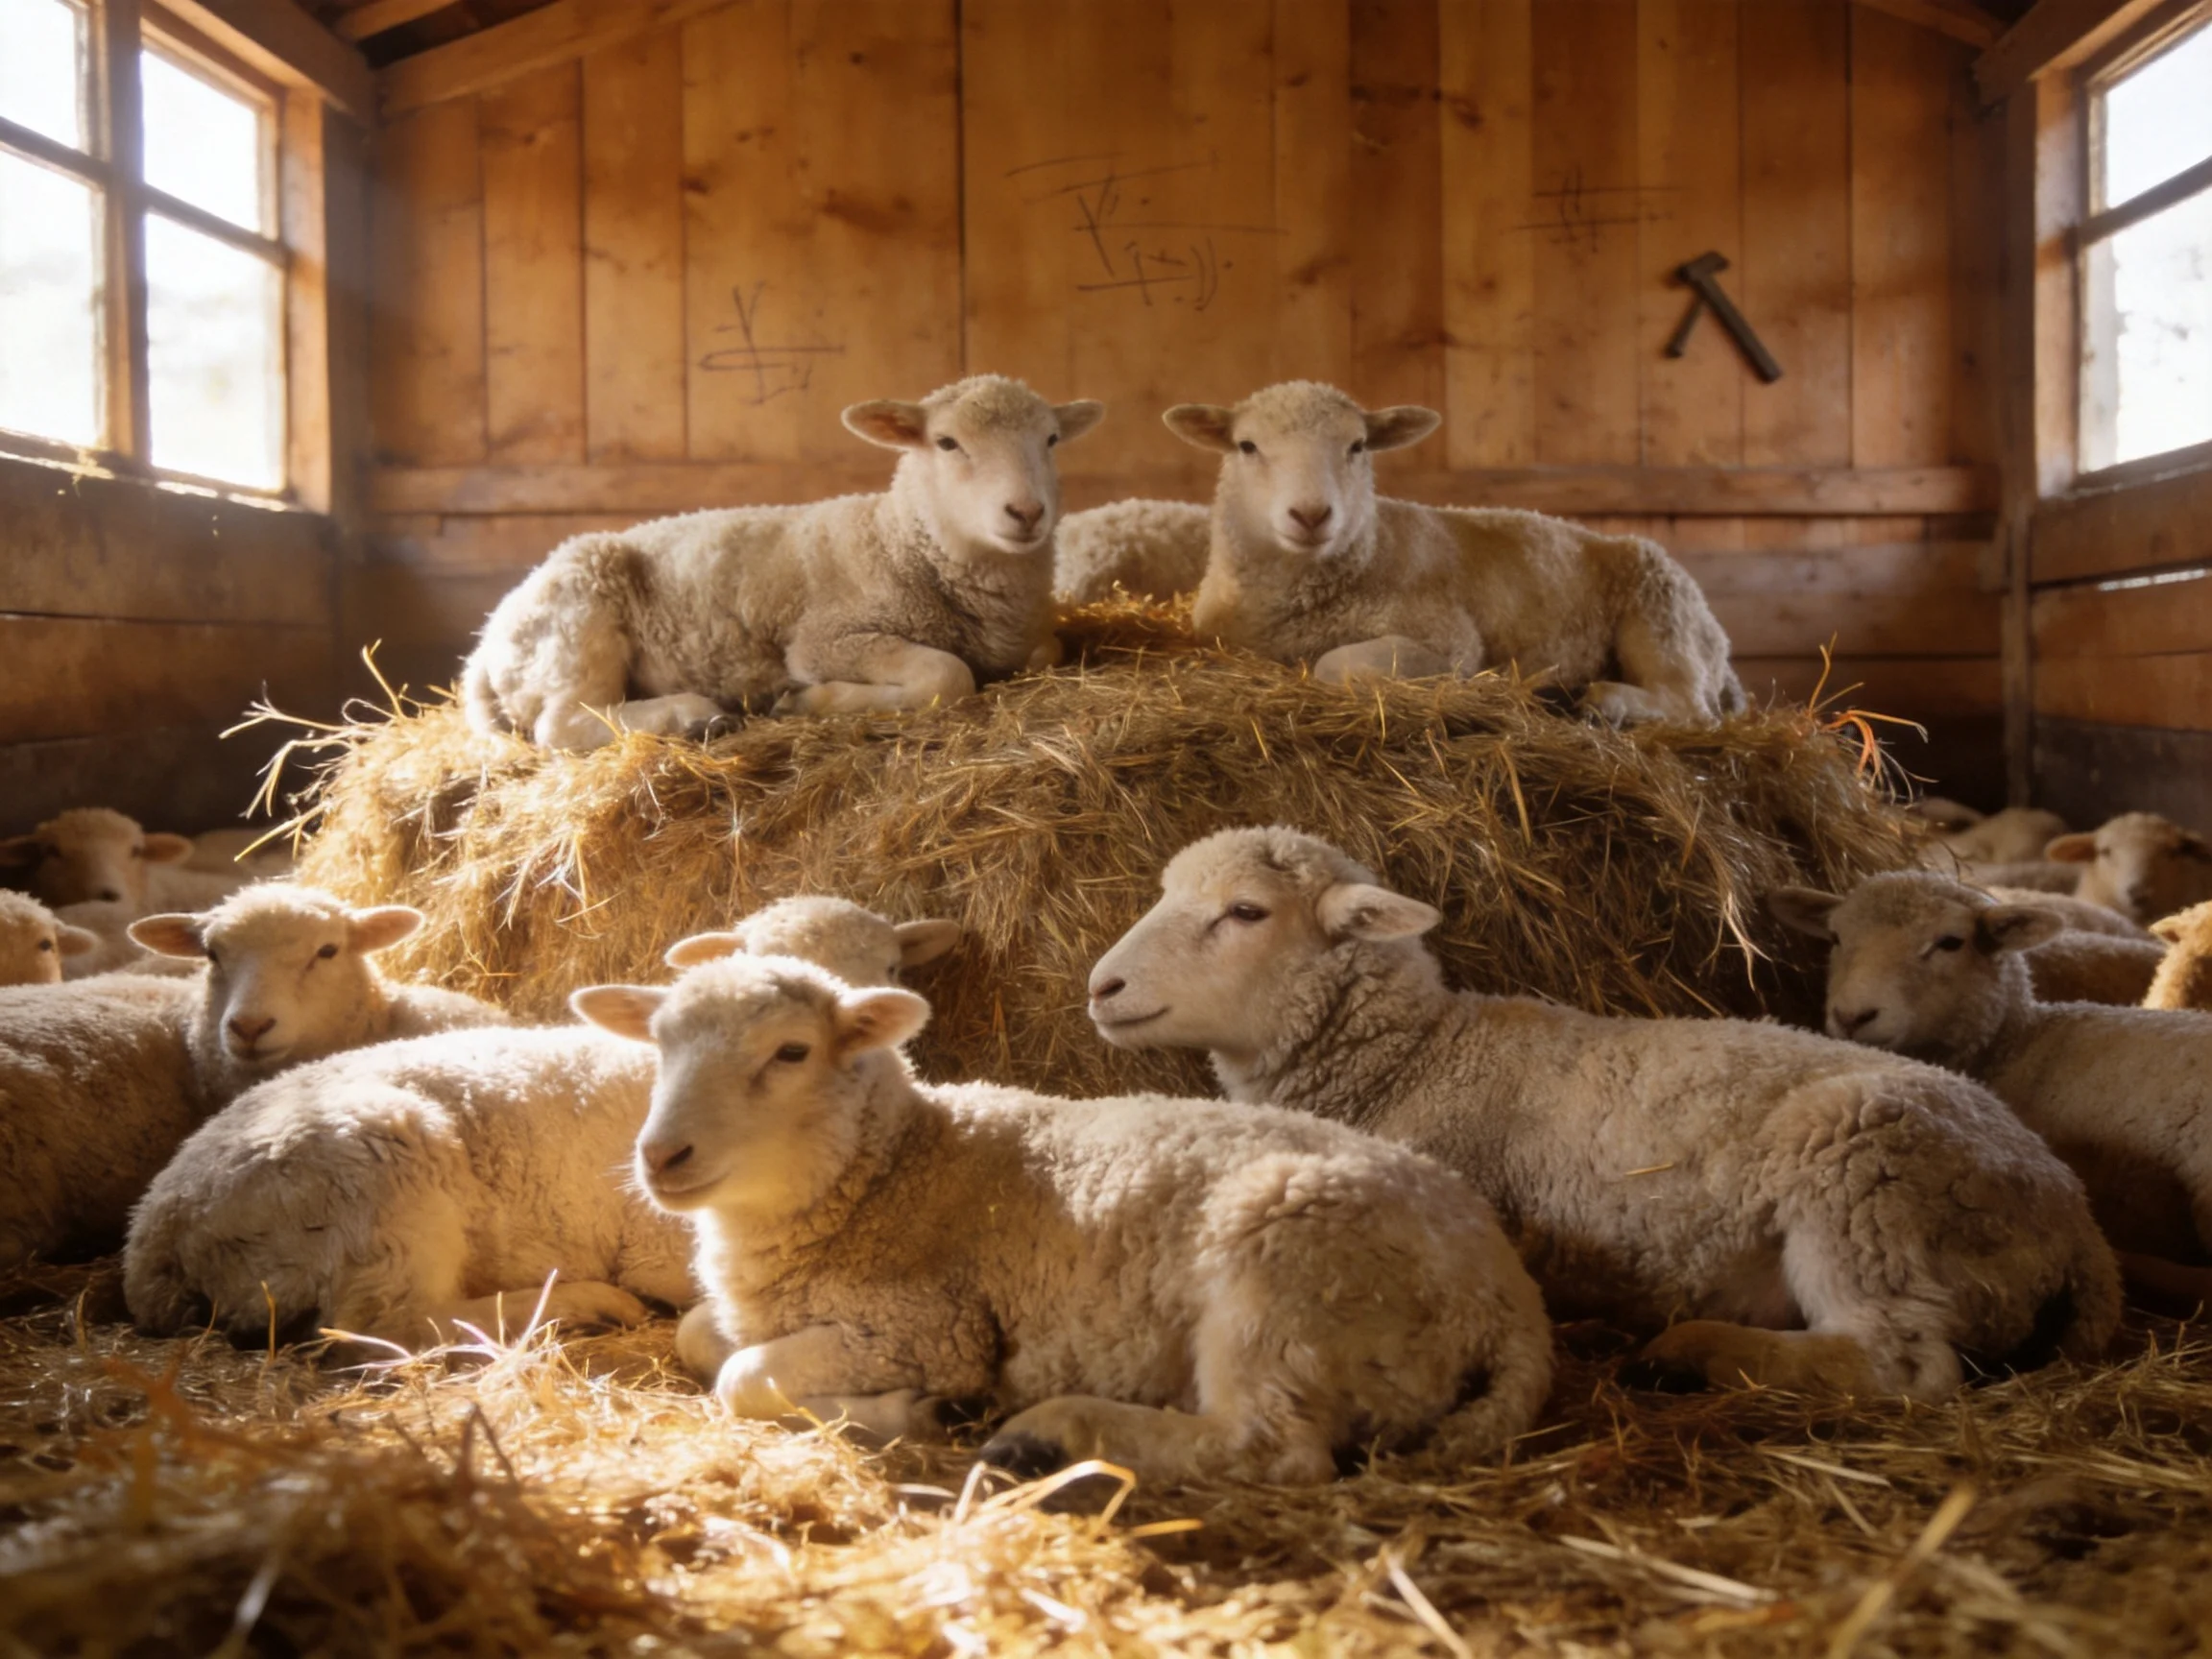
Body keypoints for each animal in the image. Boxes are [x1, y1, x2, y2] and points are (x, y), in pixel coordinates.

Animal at [124, 899, 959, 1356]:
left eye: (891, 968)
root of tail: (156, 1233)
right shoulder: (662, 1247)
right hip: (375, 1177)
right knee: (385, 1326)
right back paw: (576, 1306)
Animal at [462, 376, 1106, 750]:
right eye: (947, 444)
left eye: (1051, 440)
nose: (1026, 511)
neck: (902, 539)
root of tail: (485, 642)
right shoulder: (828, 640)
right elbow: (948, 675)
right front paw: (807, 702)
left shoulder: (1028, 639)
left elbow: (1049, 651)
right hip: (577, 623)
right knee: (560, 724)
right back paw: (696, 715)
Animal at [572, 952, 1553, 1485]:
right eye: (658, 1043)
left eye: (790, 1052)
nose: (661, 1157)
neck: (890, 1172)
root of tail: (1509, 1299)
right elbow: (699, 1337)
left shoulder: (927, 1327)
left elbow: (741, 1376)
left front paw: (908, 1411)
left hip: (1284, 1268)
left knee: (1271, 1450)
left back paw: (1049, 1435)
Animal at [1087, 827, 2119, 1402]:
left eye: (1246, 912)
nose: (1101, 986)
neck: (1414, 1056)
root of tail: (2071, 1209)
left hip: (1866, 1184)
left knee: (1904, 1368)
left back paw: (1691, 1352)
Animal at [1164, 382, 1743, 724]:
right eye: (1247, 446)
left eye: (1357, 446)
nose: (1311, 515)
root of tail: (1720, 638)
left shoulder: (1448, 639)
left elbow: (1334, 665)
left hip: (1661, 613)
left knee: (1691, 707)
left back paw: (1599, 700)